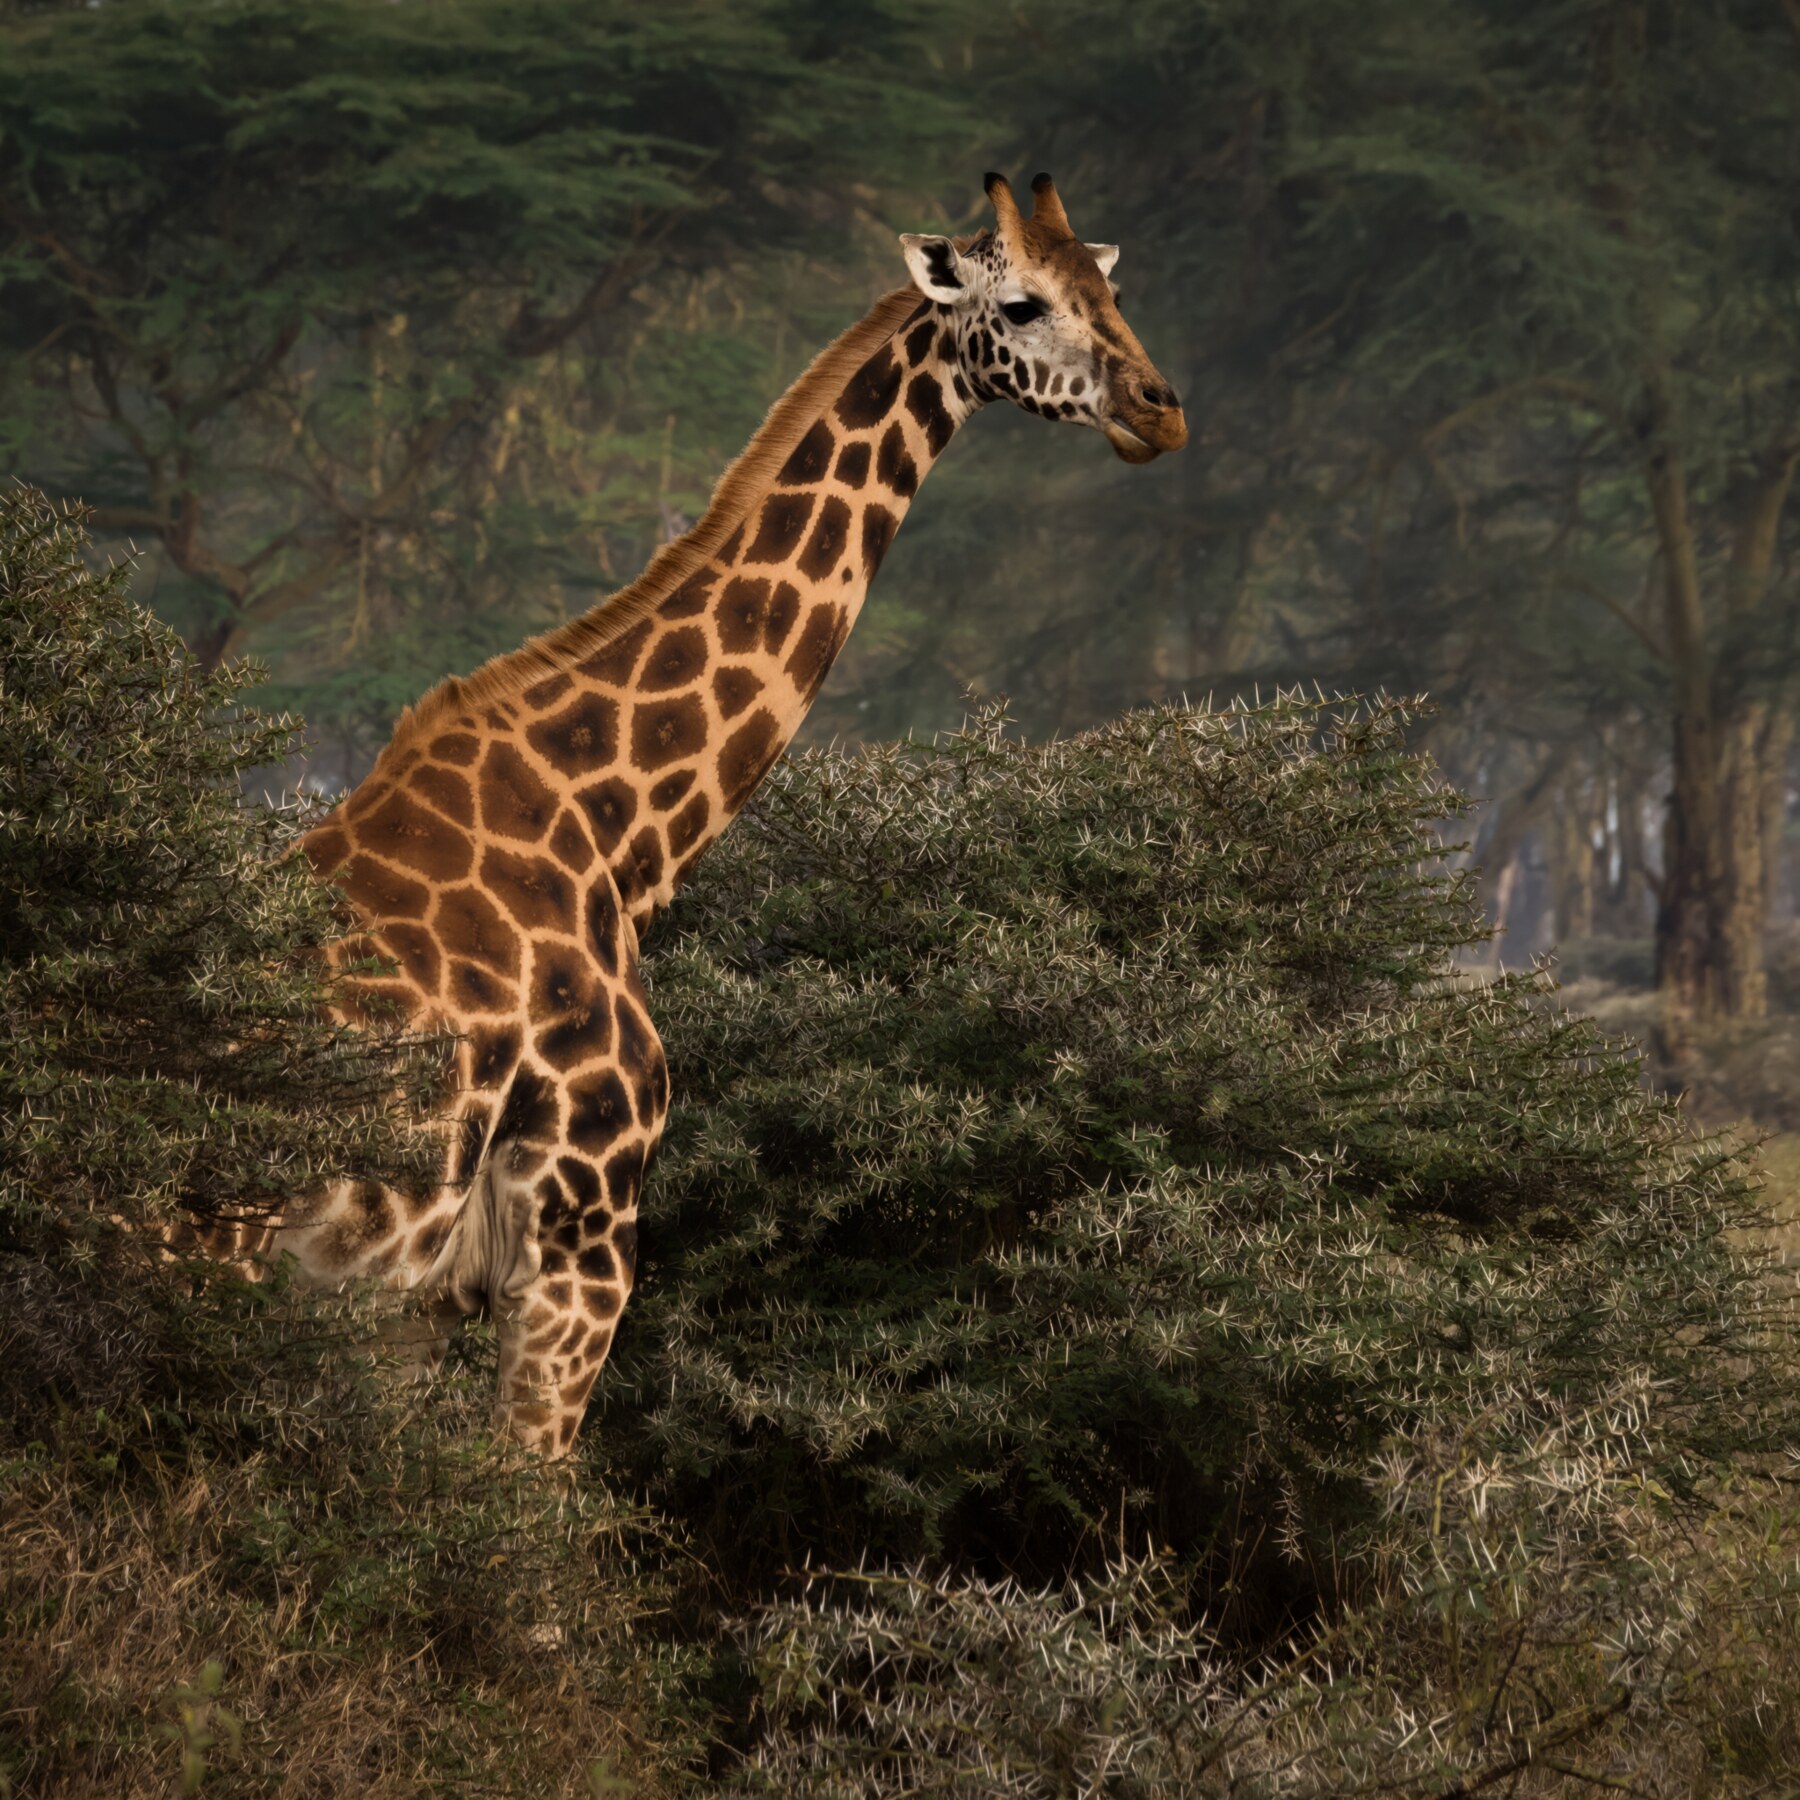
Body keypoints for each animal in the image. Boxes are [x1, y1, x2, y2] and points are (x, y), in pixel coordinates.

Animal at [282, 172, 1187, 1457]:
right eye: (1020, 303)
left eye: (1109, 289)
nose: (1160, 412)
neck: (609, 830)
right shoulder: (580, 1234)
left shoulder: (418, 1293)